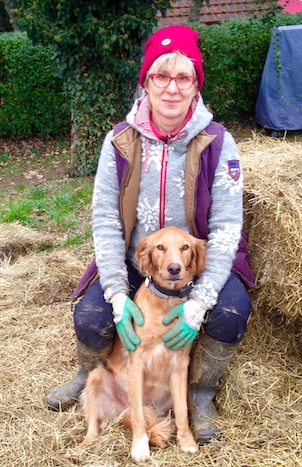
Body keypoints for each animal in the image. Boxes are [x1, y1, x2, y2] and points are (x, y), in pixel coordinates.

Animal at [80, 228, 208, 464]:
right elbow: (139, 416)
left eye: (185, 247)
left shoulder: (179, 366)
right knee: (95, 426)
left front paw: (187, 441)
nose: (174, 269)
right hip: (95, 377)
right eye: (160, 247)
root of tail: (122, 409)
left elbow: (182, 411)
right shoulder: (137, 362)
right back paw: (84, 446)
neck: (166, 301)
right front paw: (140, 447)